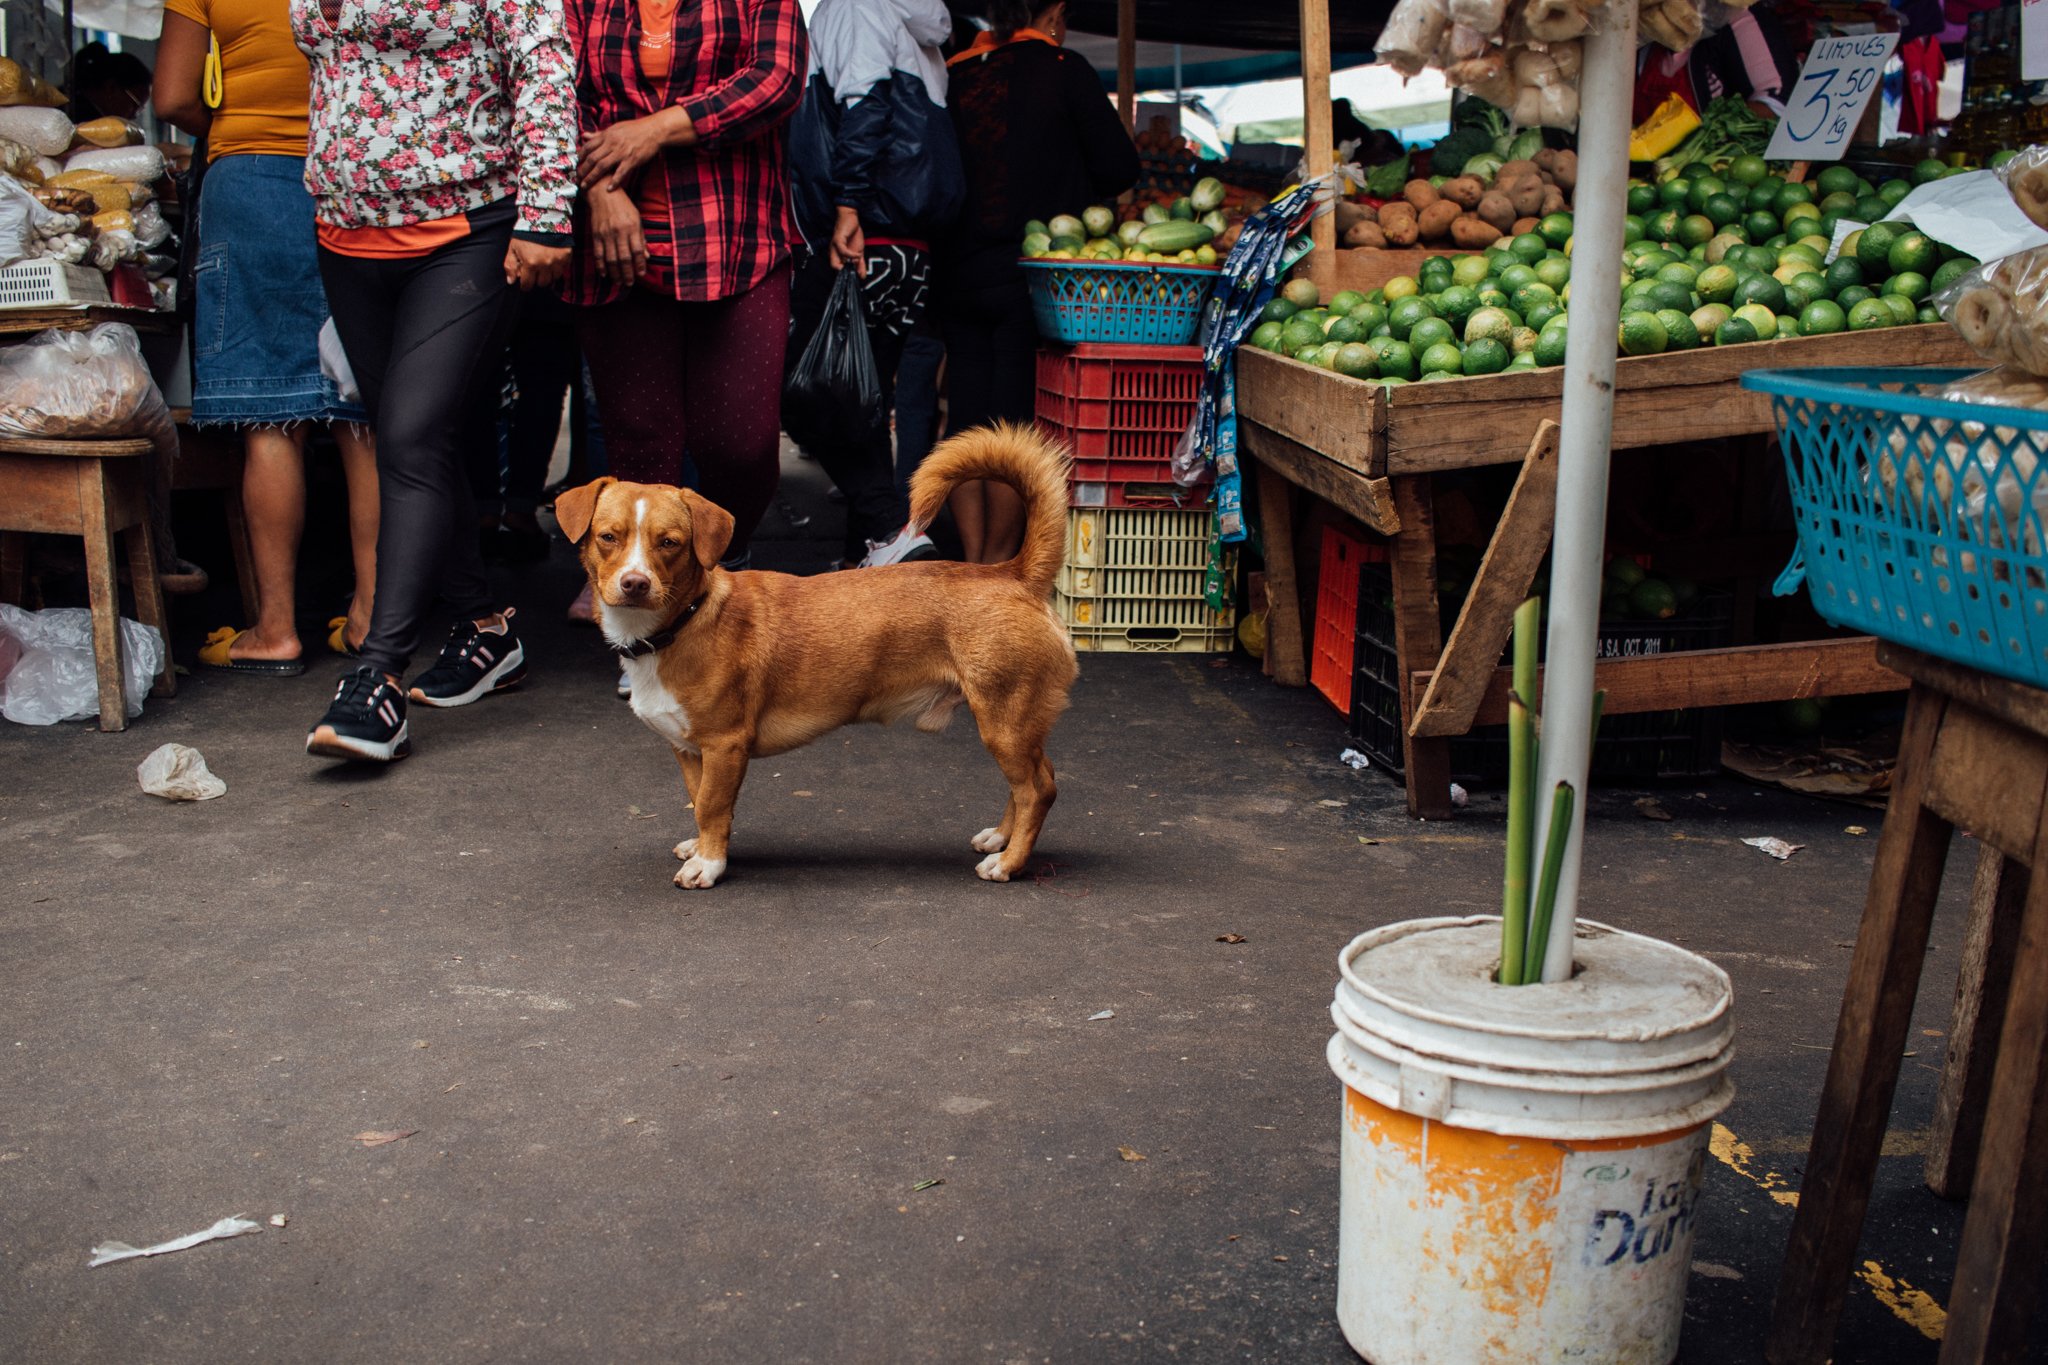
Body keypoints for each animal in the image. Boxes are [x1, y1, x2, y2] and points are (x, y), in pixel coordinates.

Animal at [552, 427, 1081, 892]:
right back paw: (1001, 839)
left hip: (1003, 722)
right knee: (1032, 781)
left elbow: (711, 807)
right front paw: (704, 848)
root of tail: (1013, 574)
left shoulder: (725, 745)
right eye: (607, 537)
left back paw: (1009, 863)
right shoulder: (689, 750)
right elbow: (699, 802)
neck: (683, 622)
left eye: (670, 543)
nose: (634, 584)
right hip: (1011, 727)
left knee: (1039, 789)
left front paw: (709, 864)